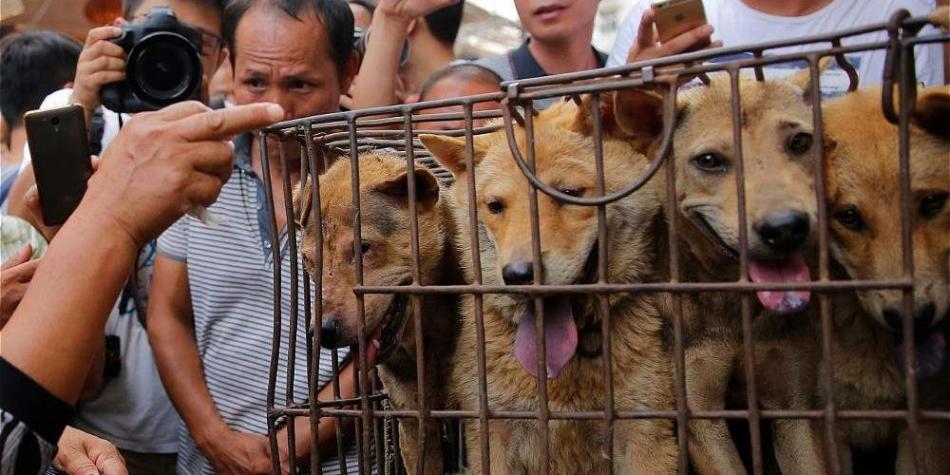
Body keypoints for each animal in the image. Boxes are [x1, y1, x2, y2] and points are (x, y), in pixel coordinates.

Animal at [608, 64, 840, 475]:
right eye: (709, 161)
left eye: (800, 141)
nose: (786, 228)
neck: (732, 305)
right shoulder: (701, 417)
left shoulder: (793, 410)